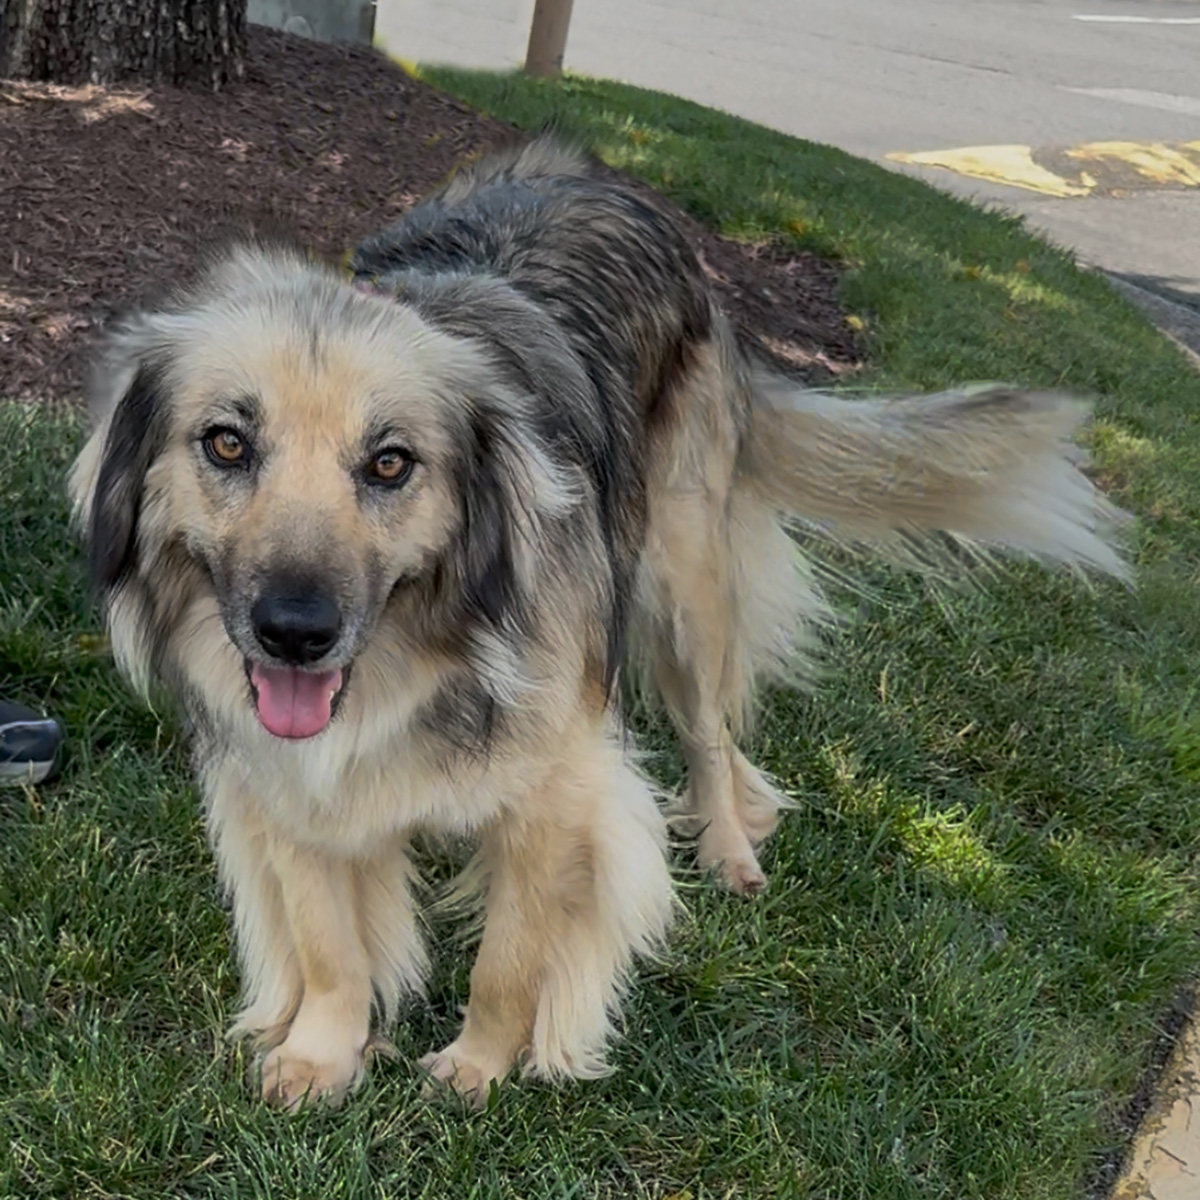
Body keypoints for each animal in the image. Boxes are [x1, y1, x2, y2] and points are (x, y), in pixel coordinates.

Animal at [68, 135, 1129, 1108]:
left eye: (391, 463)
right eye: (226, 444)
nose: (294, 631)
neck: (422, 656)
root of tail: (604, 179)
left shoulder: (557, 788)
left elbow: (509, 959)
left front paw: (480, 1067)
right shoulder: (288, 780)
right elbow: (331, 944)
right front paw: (324, 1053)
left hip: (684, 585)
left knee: (711, 732)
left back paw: (729, 846)